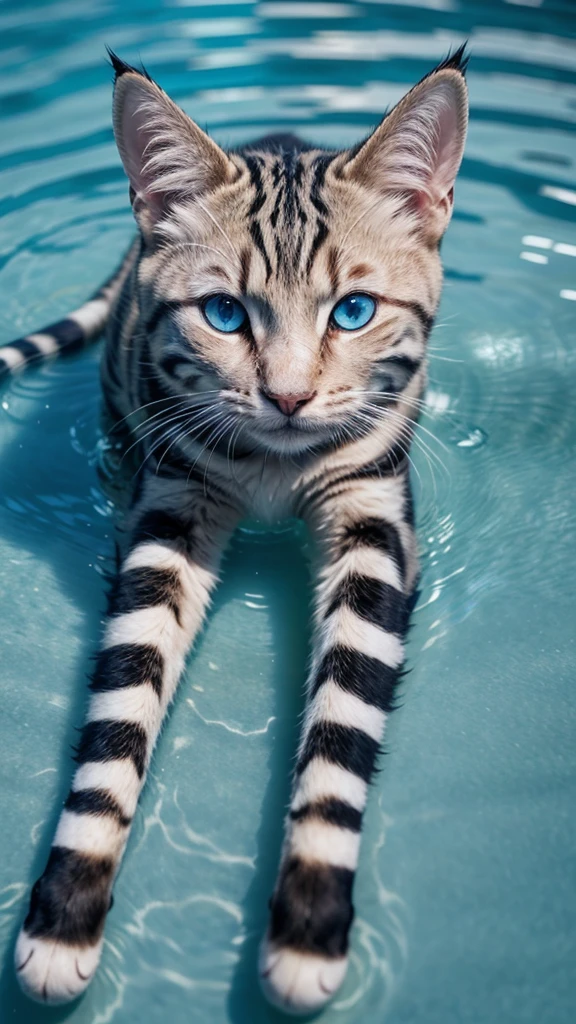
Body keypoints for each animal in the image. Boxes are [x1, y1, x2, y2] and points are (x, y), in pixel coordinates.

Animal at [1, 48, 467, 1015]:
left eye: (353, 311)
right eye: (224, 314)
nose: (288, 397)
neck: (274, 475)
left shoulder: (373, 516)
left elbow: (342, 727)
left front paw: (308, 924)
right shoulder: (171, 511)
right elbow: (120, 709)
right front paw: (64, 915)